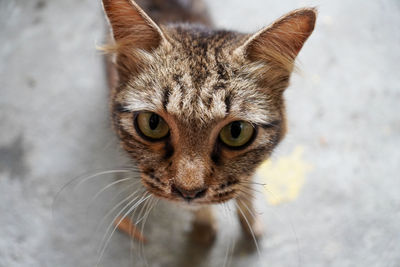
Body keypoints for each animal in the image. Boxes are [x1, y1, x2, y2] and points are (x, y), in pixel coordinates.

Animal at [101, 0, 318, 245]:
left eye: (236, 132)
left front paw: (251, 222)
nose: (188, 192)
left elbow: (245, 187)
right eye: (153, 123)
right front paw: (205, 226)